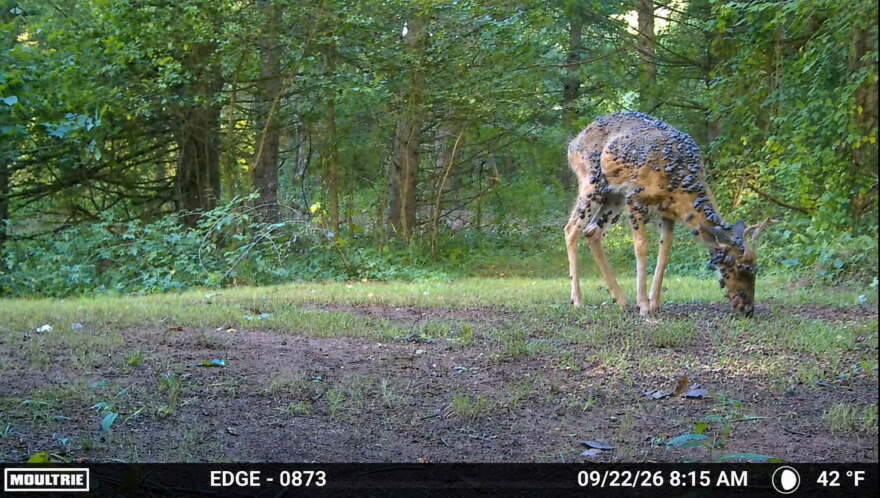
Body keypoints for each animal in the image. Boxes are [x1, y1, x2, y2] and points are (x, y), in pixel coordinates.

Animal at [564, 112, 771, 317]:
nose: (748, 310)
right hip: (592, 181)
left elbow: (664, 252)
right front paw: (643, 305)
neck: (679, 184)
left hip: (614, 196)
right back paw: (577, 300)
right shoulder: (635, 198)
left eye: (756, 269)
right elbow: (641, 247)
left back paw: (620, 300)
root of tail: (573, 143)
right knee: (571, 229)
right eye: (739, 267)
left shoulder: (667, 213)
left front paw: (655, 303)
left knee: (592, 232)